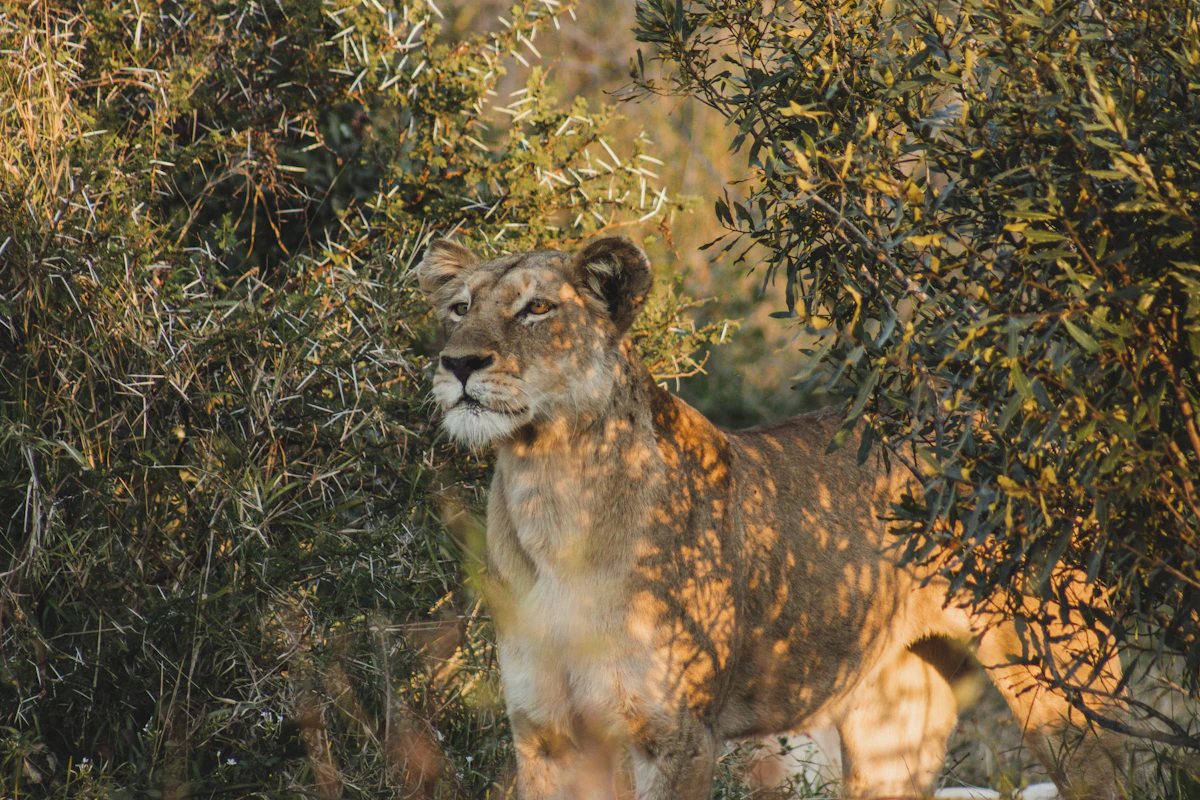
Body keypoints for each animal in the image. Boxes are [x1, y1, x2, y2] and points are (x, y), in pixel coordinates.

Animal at [417, 236, 1126, 800]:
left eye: (537, 308)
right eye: (460, 308)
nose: (458, 363)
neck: (549, 486)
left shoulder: (675, 737)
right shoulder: (548, 735)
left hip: (1065, 691)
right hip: (893, 719)